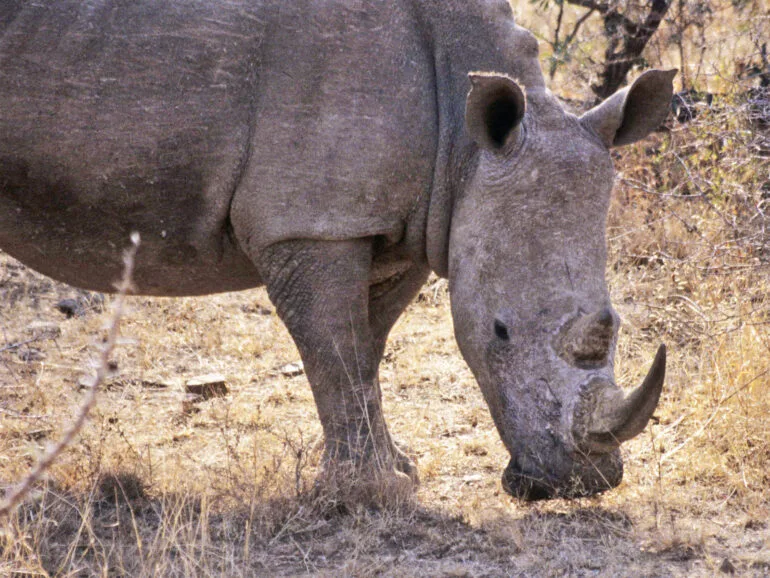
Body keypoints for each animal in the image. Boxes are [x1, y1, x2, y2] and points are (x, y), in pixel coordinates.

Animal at [0, 0, 674, 500]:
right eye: (501, 332)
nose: (583, 485)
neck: (467, 145)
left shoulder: (412, 221)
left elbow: (366, 348)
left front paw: (397, 471)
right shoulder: (313, 223)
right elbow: (337, 351)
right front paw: (371, 494)